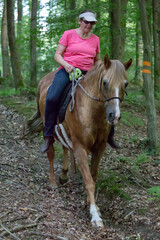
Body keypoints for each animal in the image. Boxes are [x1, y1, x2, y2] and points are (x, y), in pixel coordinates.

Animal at [26, 54, 131, 227]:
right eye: (105, 82)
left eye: (126, 84)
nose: (114, 116)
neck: (92, 111)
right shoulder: (81, 148)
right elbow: (88, 180)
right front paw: (95, 215)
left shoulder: (99, 148)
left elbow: (93, 176)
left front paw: (92, 204)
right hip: (48, 129)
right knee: (51, 153)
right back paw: (53, 182)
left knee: (65, 147)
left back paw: (64, 174)